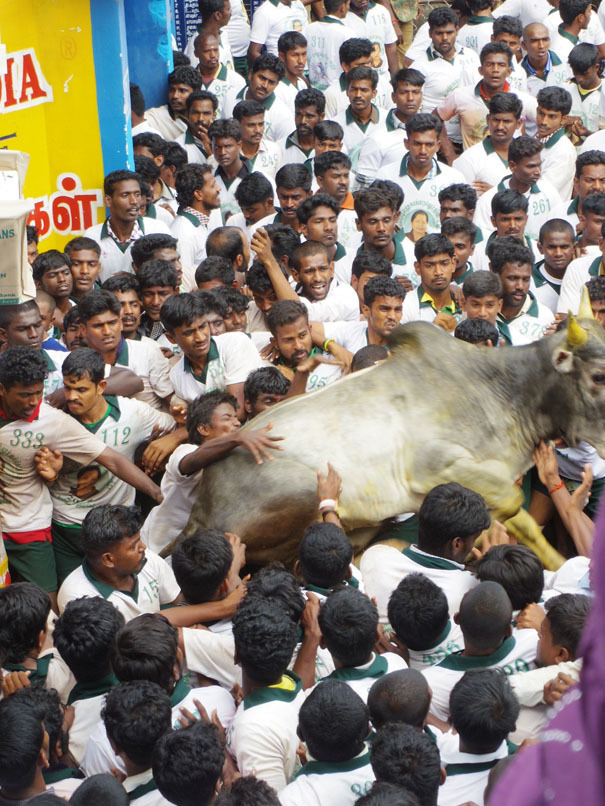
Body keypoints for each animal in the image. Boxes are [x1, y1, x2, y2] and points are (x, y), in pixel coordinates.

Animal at [174, 314, 605, 570]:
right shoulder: (435, 468)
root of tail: (202, 509)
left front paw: (558, 562)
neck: (501, 390)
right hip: (303, 492)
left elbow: (524, 521)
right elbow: (509, 503)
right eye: (598, 375)